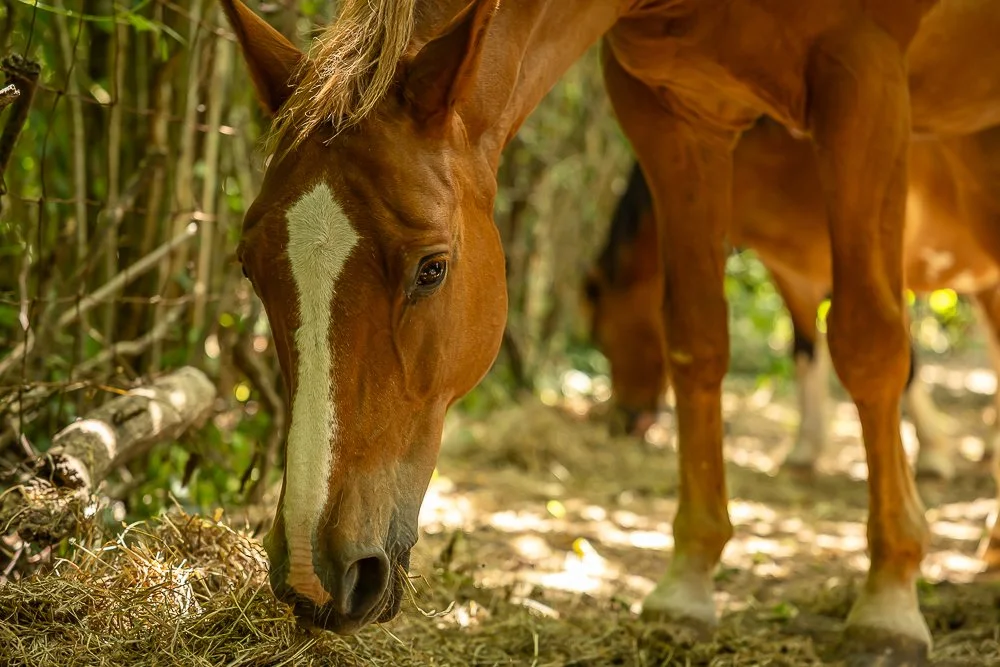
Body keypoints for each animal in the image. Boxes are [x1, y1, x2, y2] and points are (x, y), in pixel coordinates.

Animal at [582, 120, 1000, 567]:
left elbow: (905, 363)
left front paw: (934, 454)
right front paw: (805, 448)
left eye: (604, 338)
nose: (623, 420)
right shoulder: (791, 271)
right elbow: (804, 351)